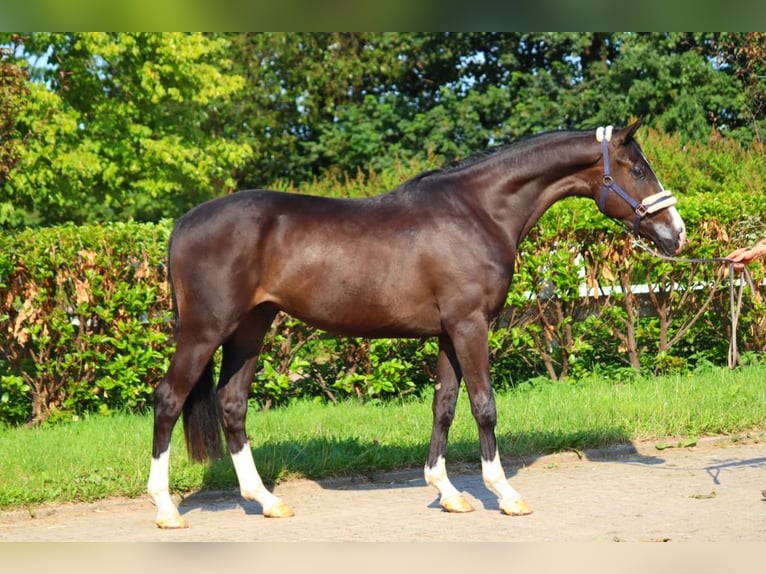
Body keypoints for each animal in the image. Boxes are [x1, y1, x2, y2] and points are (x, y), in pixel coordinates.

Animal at [147, 119, 688, 528]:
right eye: (638, 168)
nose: (677, 234)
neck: (479, 212)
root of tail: (182, 224)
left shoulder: (450, 332)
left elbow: (443, 406)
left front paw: (447, 492)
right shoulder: (471, 326)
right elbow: (484, 406)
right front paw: (504, 494)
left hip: (250, 328)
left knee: (232, 404)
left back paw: (267, 501)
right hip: (204, 331)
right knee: (169, 400)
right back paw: (167, 509)